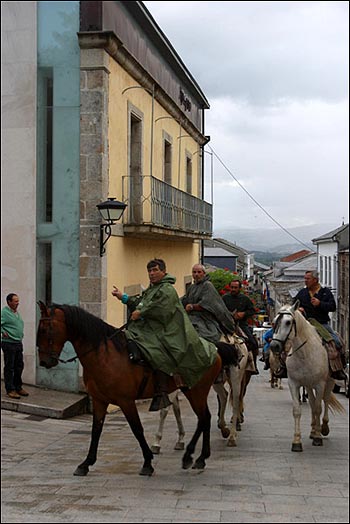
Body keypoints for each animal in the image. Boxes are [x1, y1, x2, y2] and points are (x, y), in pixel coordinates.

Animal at [36, 300, 238, 476]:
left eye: (44, 329)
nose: (44, 362)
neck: (105, 356)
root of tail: (215, 348)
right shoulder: (100, 401)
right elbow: (96, 431)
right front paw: (85, 463)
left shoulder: (126, 401)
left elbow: (137, 429)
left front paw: (147, 462)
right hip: (193, 391)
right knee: (205, 418)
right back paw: (200, 458)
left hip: (196, 391)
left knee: (204, 419)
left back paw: (191, 456)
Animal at [270, 300, 344, 452]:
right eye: (274, 322)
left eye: (288, 322)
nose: (274, 346)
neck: (304, 353)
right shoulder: (294, 383)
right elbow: (298, 410)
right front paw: (297, 441)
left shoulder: (320, 384)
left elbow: (318, 408)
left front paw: (318, 437)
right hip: (309, 385)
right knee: (311, 402)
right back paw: (313, 430)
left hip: (330, 381)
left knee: (325, 401)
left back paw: (323, 428)